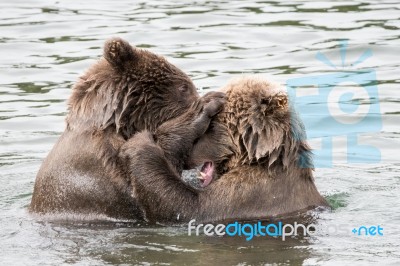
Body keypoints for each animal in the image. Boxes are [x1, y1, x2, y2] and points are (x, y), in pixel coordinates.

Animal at [123, 75, 330, 224]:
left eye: (212, 126)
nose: (187, 155)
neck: (260, 159)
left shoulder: (254, 194)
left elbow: (190, 209)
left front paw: (141, 143)